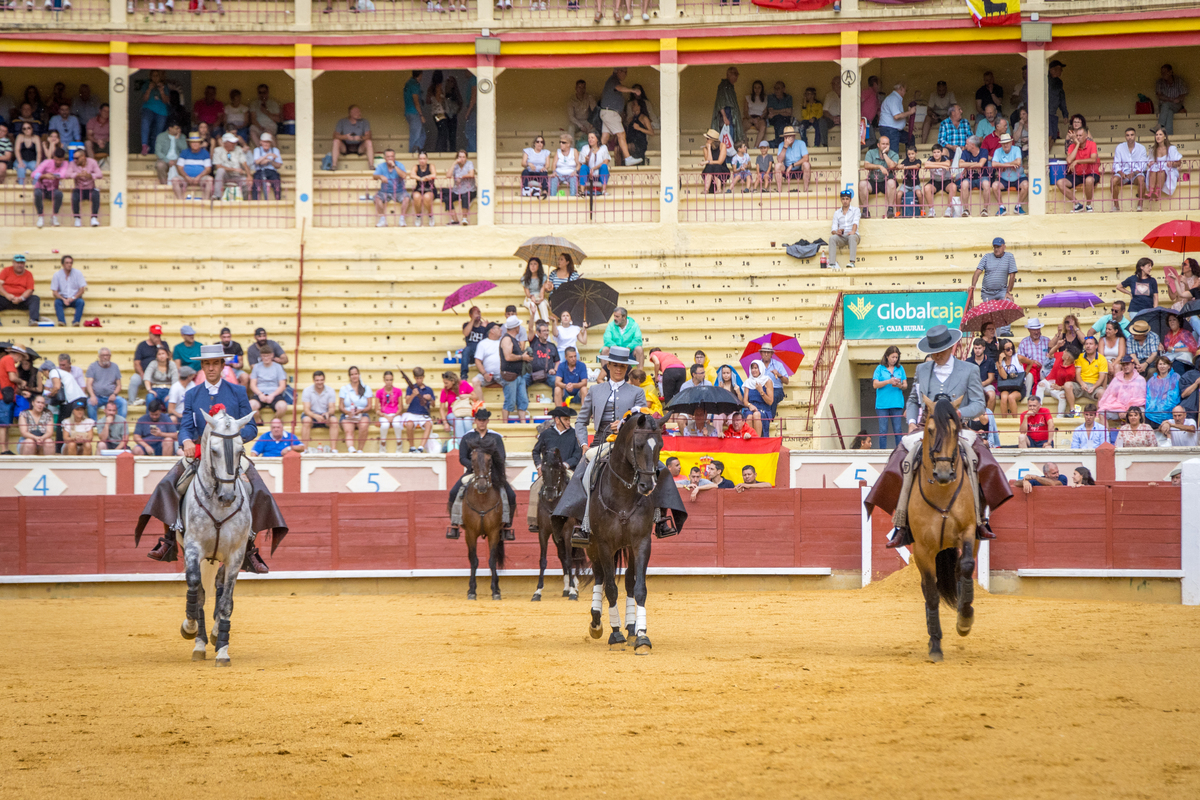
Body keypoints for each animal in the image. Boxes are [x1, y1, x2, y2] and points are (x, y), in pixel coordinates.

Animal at [180, 410, 255, 666]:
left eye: (241, 451)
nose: (228, 496)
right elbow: (195, 588)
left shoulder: (236, 556)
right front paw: (190, 628)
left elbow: (226, 602)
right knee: (201, 592)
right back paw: (199, 643)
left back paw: (212, 636)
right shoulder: (193, 549)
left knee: (219, 588)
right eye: (214, 451)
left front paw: (222, 649)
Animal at [451, 443, 504, 599]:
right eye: (472, 460)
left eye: (490, 460)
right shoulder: (470, 533)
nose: (481, 486)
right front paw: (472, 591)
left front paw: (495, 591)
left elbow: (492, 560)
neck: (482, 500)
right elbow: (473, 560)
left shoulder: (494, 532)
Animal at [530, 450, 580, 599]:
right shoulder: (544, 533)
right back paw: (566, 588)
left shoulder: (569, 532)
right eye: (543, 470)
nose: (550, 494)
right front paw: (538, 591)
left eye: (557, 470)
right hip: (558, 537)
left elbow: (570, 560)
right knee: (563, 556)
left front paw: (573, 591)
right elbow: (543, 560)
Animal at [912, 395, 979, 662]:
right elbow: (931, 592)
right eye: (930, 430)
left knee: (962, 569)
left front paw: (965, 620)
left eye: (955, 430)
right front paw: (935, 645)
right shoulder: (922, 549)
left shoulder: (969, 531)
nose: (942, 473)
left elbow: (967, 566)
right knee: (928, 586)